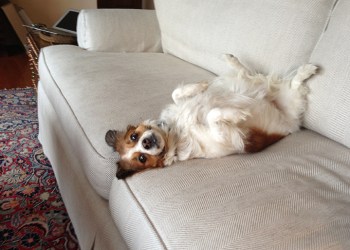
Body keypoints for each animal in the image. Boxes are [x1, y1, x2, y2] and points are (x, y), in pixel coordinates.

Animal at [104, 55, 318, 180]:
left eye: (134, 136)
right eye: (142, 158)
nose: (146, 143)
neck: (175, 132)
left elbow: (176, 93)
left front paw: (200, 87)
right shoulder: (226, 137)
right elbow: (215, 115)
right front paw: (237, 113)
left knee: (249, 74)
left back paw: (232, 60)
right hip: (293, 103)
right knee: (294, 84)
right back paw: (306, 70)